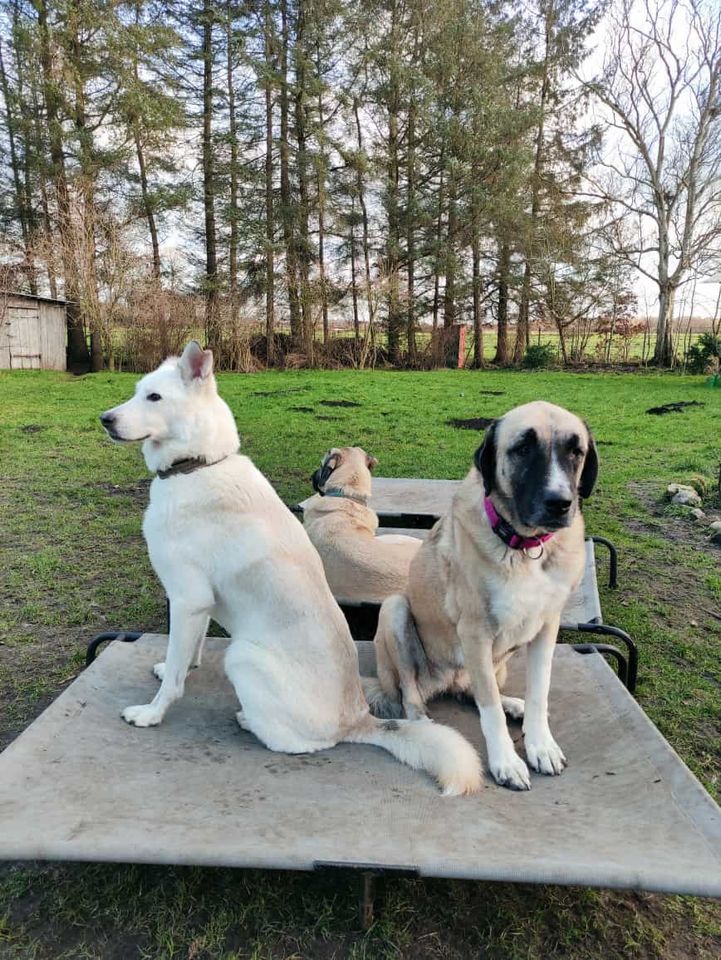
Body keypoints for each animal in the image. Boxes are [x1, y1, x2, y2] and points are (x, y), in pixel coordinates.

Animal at [362, 402, 600, 792]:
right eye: (522, 448)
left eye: (575, 451)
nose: (559, 503)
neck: (525, 547)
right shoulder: (475, 633)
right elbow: (489, 712)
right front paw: (507, 762)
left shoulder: (547, 627)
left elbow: (540, 691)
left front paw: (541, 746)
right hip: (395, 611)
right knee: (413, 694)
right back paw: (424, 724)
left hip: (496, 664)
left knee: (472, 690)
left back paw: (512, 704)